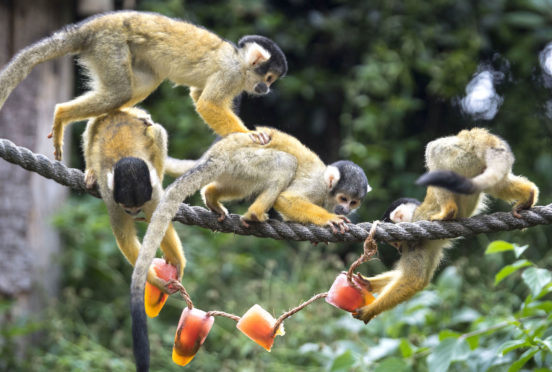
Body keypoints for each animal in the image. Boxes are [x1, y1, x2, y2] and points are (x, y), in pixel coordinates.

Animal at [2, 10, 288, 160]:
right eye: (269, 78)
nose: (267, 89)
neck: (240, 63)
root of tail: (90, 27)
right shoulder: (230, 72)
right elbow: (207, 103)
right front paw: (248, 135)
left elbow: (198, 95)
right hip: (109, 43)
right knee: (119, 91)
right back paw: (62, 114)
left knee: (143, 83)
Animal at [82, 106, 185, 292]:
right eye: (127, 206)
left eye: (138, 206)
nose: (134, 212)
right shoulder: (111, 198)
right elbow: (125, 236)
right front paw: (155, 281)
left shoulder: (153, 194)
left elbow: (159, 222)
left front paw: (176, 261)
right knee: (92, 124)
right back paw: (91, 171)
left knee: (157, 131)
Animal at [130, 125, 370, 372]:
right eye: (343, 198)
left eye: (353, 202)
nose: (346, 209)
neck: (327, 193)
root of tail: (216, 155)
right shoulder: (317, 187)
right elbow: (287, 199)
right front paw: (329, 219)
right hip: (244, 162)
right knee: (285, 163)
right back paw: (255, 214)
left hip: (236, 171)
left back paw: (212, 198)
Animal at [354, 127, 540, 322]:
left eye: (396, 242)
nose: (399, 250)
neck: (414, 216)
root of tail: (478, 137)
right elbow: (419, 277)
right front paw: (367, 283)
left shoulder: (415, 242)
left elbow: (414, 279)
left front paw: (369, 310)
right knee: (492, 183)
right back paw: (528, 195)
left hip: (458, 155)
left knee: (434, 152)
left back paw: (448, 212)